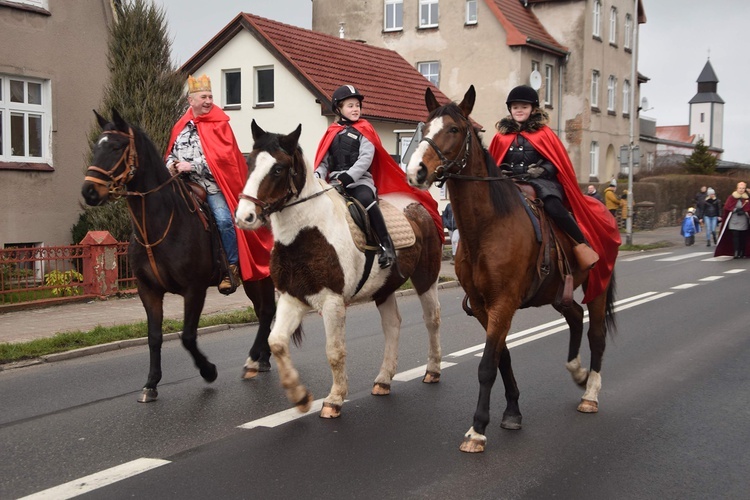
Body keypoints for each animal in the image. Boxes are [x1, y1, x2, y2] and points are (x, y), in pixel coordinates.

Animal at [80, 109, 280, 402]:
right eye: (96, 147)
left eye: (116, 146)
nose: (90, 191)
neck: (160, 223)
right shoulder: (148, 289)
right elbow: (154, 336)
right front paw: (151, 383)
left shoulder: (194, 289)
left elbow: (187, 336)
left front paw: (208, 370)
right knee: (264, 310)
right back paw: (262, 358)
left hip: (259, 275)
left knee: (266, 311)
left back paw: (256, 359)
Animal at [236, 120, 446, 418]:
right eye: (250, 162)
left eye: (278, 168)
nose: (245, 217)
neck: (306, 233)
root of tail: (418, 205)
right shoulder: (292, 297)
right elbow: (276, 342)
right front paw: (299, 395)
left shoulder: (332, 302)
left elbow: (334, 352)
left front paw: (334, 399)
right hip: (384, 288)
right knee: (392, 325)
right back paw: (383, 380)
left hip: (426, 278)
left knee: (432, 319)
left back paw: (433, 370)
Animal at [408, 86, 620, 454]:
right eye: (424, 126)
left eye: (454, 129)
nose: (416, 171)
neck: (488, 226)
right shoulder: (484, 306)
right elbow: (502, 358)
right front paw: (512, 412)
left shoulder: (503, 303)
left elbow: (486, 365)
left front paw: (477, 429)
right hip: (558, 291)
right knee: (574, 316)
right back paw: (577, 371)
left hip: (598, 285)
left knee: (596, 335)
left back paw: (590, 393)